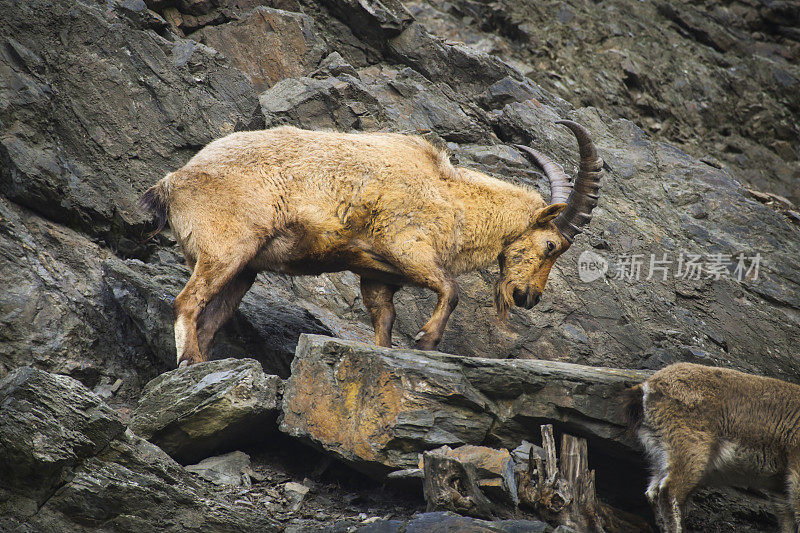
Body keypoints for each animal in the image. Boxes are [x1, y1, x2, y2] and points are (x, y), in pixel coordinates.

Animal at [141, 119, 604, 366]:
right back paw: (189, 361)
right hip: (225, 249)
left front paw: (389, 352)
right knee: (186, 302)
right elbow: (451, 288)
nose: (528, 296)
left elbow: (385, 319)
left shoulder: (375, 274)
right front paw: (427, 340)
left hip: (244, 268)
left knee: (212, 316)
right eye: (551, 246)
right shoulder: (409, 246)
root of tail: (173, 182)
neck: (451, 196)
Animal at [624, 362, 800, 532]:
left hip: (659, 453)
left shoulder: (779, 486)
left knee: (653, 492)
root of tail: (647, 388)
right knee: (669, 492)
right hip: (689, 448)